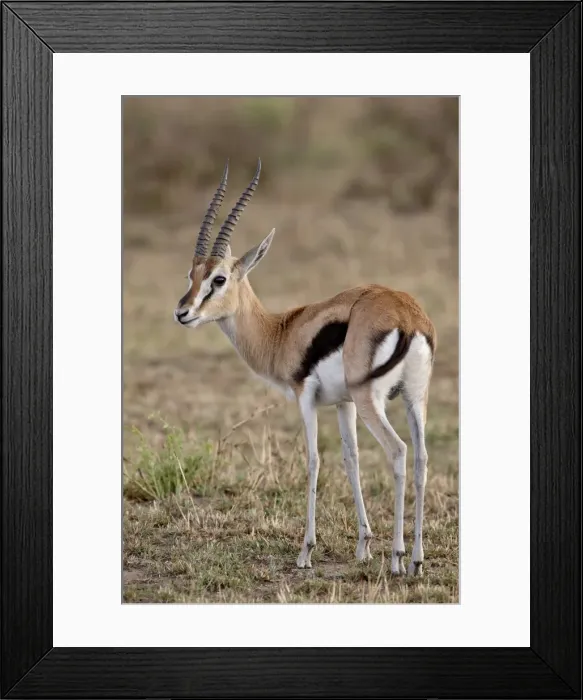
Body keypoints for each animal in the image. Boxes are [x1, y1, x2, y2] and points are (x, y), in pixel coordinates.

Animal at [174, 160, 436, 575]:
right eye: (191, 274)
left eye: (219, 279)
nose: (183, 312)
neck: (281, 331)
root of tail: (408, 316)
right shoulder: (343, 403)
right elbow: (351, 459)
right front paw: (363, 545)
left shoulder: (305, 397)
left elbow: (313, 460)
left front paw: (306, 552)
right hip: (414, 398)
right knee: (423, 458)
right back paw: (416, 560)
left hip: (372, 400)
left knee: (398, 451)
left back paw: (397, 559)